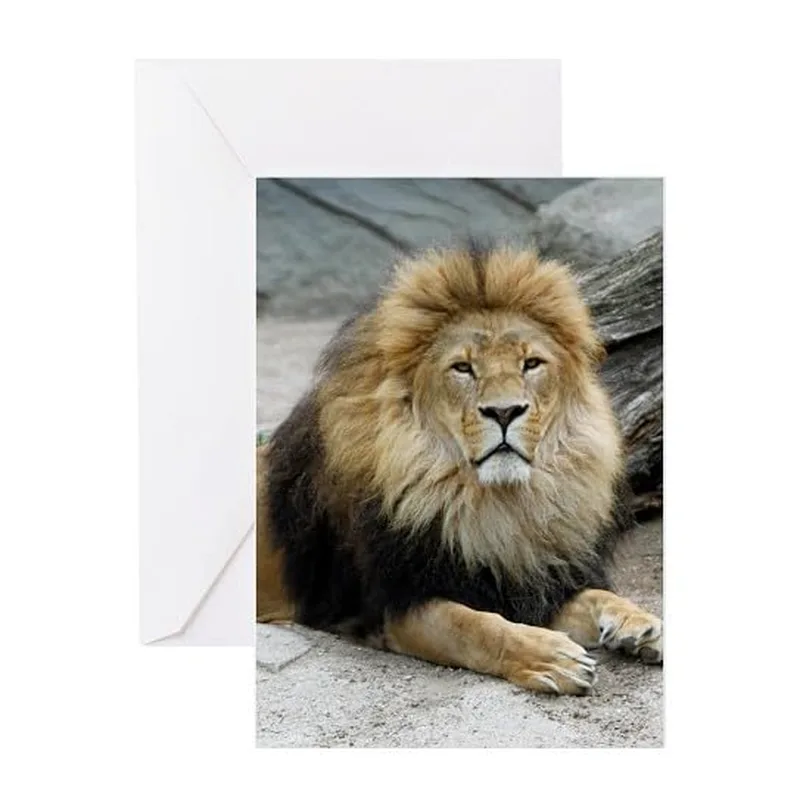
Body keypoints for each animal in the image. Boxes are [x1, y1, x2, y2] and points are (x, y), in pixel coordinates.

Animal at [256, 242, 662, 695]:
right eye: (463, 368)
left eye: (531, 364)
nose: (504, 412)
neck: (496, 504)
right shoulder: (394, 604)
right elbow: (476, 627)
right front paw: (551, 656)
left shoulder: (527, 581)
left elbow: (595, 596)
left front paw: (638, 624)